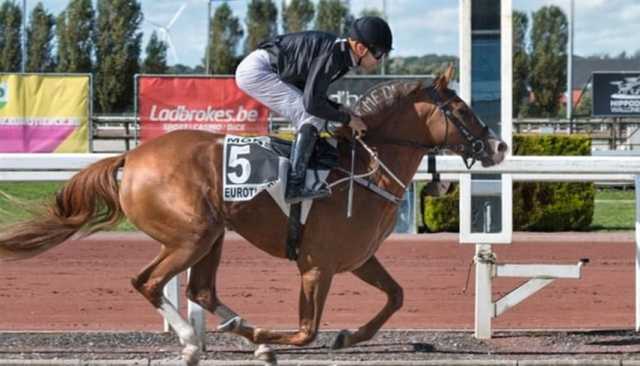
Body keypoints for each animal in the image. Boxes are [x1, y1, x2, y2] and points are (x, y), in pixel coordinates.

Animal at [0, 66, 504, 366]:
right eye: (461, 109)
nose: (498, 146)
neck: (363, 165)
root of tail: (132, 158)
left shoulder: (357, 259)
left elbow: (396, 296)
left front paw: (345, 336)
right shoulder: (316, 266)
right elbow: (305, 332)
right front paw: (270, 336)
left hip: (213, 234)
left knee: (200, 289)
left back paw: (232, 330)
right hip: (192, 234)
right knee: (148, 282)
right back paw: (195, 342)